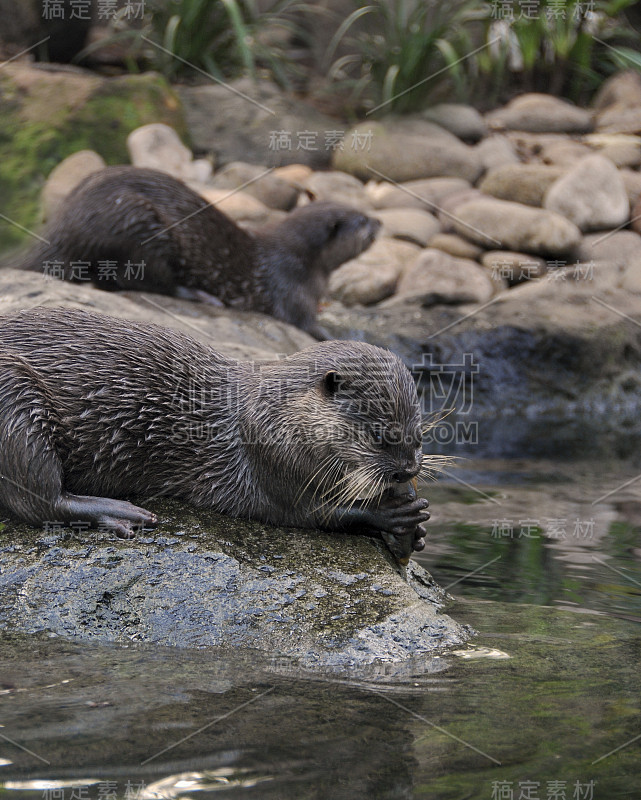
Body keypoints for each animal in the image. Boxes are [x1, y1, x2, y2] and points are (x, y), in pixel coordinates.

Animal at [0, 306, 432, 564]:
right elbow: (312, 512)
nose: (408, 470)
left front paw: (417, 532)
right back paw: (119, 511)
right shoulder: (274, 462)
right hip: (15, 401)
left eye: (418, 435)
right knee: (37, 499)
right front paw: (393, 513)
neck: (270, 415)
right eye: (378, 435)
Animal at [18, 166, 380, 340]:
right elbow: (306, 324)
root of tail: (65, 224)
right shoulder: (290, 289)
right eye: (362, 221)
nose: (379, 221)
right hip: (137, 223)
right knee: (138, 280)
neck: (309, 268)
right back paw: (201, 296)